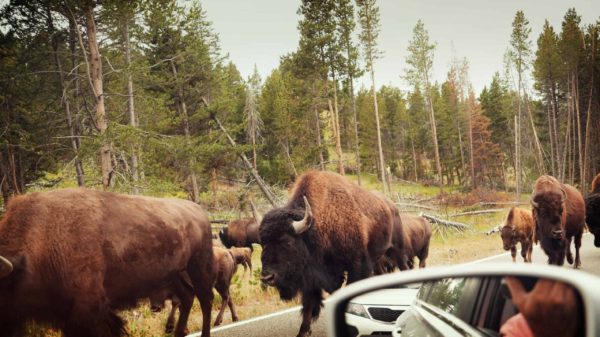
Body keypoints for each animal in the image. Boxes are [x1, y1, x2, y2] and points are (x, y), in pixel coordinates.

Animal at [0, 188, 214, 336]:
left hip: (199, 265)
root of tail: (199, 210)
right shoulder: (68, 316)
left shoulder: (89, 308)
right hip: (172, 275)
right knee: (187, 296)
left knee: (206, 299)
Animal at [258, 171, 394, 336]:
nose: (267, 277)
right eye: (263, 243)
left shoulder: (356, 266)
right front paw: (303, 331)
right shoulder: (311, 276)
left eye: (287, 242)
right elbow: (309, 304)